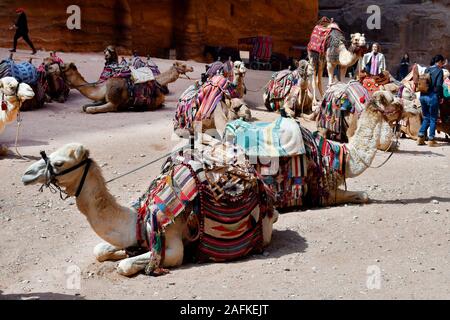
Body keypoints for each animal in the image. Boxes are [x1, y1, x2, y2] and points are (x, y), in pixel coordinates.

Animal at [23, 144, 278, 276]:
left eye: (59, 163)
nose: (26, 174)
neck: (137, 219)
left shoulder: (173, 245)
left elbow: (126, 266)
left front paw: (130, 258)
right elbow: (100, 250)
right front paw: (125, 251)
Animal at [59, 61, 193, 114]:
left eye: (63, 67)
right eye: (183, 65)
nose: (191, 68)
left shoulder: (113, 104)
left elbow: (90, 109)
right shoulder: (103, 99)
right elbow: (85, 106)